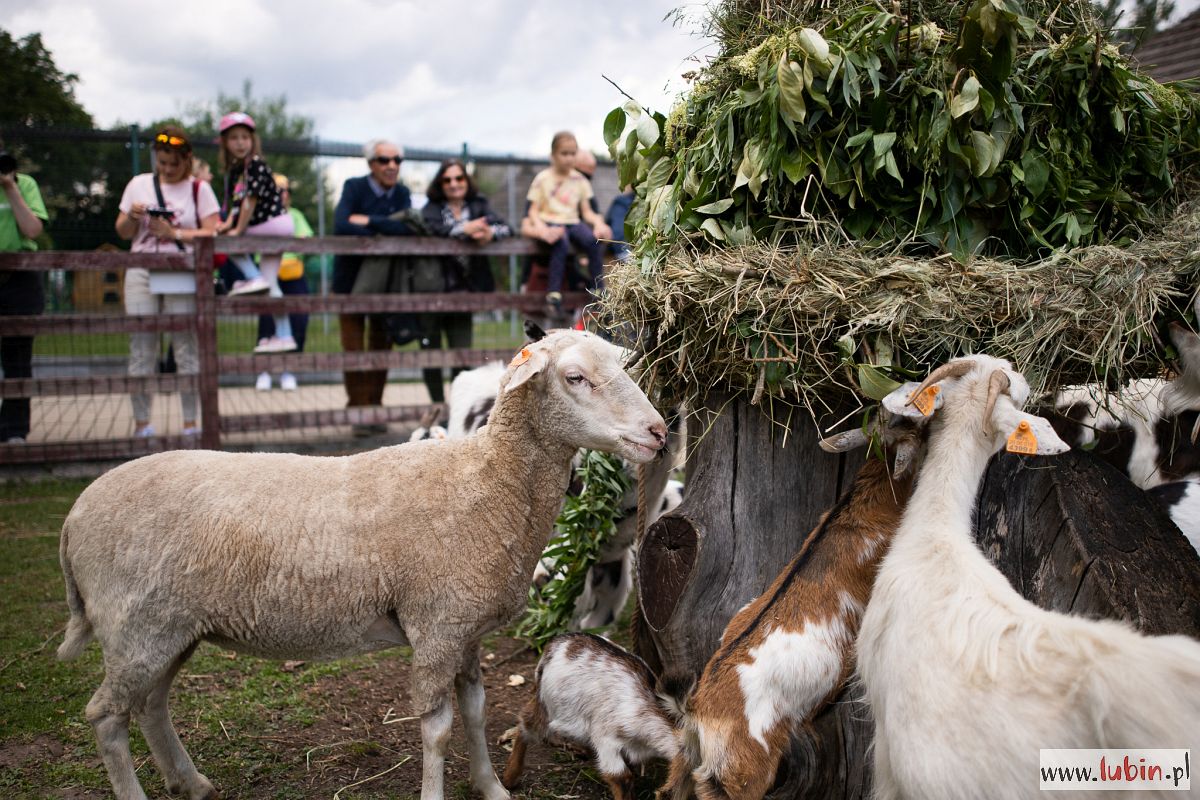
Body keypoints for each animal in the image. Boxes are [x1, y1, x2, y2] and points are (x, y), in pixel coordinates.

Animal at [501, 633, 681, 800]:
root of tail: (555, 642)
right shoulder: (606, 739)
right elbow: (621, 778)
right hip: (549, 705)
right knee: (527, 722)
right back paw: (510, 778)